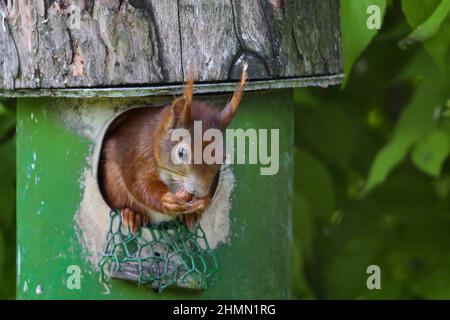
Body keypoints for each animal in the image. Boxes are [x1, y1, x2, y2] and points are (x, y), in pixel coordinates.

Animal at [99, 67, 246, 232]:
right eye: (181, 152)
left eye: (223, 157)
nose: (198, 191)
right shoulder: (140, 153)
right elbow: (140, 184)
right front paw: (166, 201)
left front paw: (203, 202)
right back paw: (132, 214)